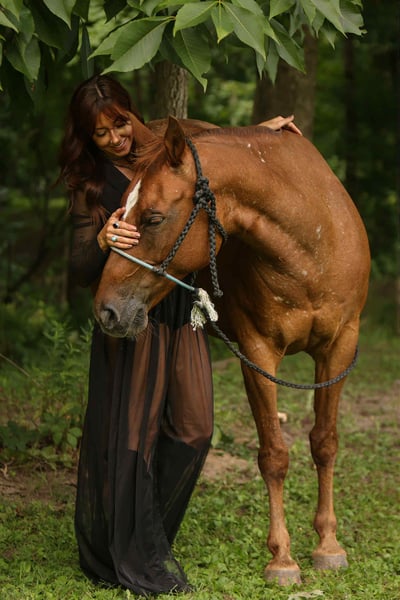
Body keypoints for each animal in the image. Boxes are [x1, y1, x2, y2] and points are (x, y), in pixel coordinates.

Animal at [93, 116, 370, 585]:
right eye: (119, 215)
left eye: (152, 217)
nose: (106, 310)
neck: (312, 244)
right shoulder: (258, 354)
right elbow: (274, 455)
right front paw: (282, 558)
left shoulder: (339, 348)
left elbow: (325, 442)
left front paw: (328, 545)